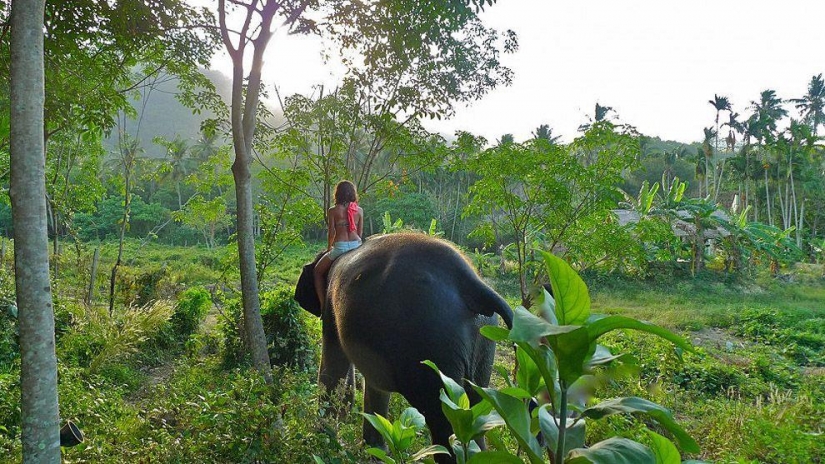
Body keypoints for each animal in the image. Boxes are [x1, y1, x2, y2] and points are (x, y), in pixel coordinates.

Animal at [294, 233, 513, 461]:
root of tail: (472, 282)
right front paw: (374, 452)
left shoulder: (330, 306)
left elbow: (333, 366)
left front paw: (321, 439)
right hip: (484, 342)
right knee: (475, 414)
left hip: (432, 343)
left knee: (445, 421)